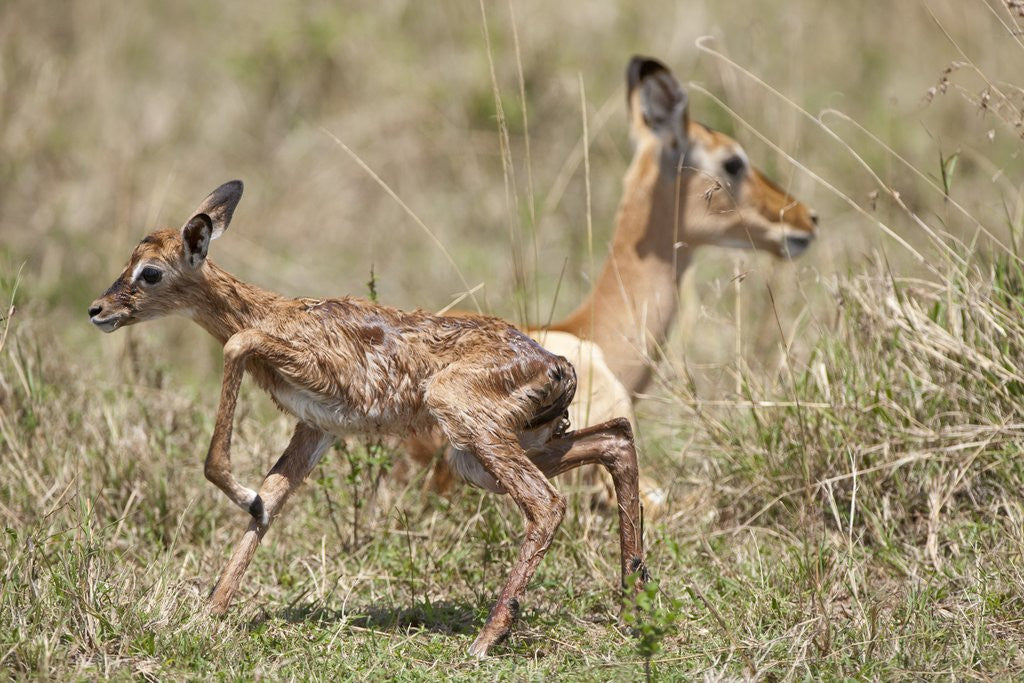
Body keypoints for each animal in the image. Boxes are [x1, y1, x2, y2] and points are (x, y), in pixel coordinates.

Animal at [87, 180, 646, 657]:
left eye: (150, 271)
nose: (98, 310)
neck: (274, 313)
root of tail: (558, 366)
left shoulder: (302, 372)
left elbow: (236, 348)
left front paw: (239, 499)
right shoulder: (317, 428)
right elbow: (271, 500)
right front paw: (211, 613)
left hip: (471, 431)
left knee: (548, 503)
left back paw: (487, 640)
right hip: (484, 457)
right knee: (615, 440)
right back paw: (630, 607)